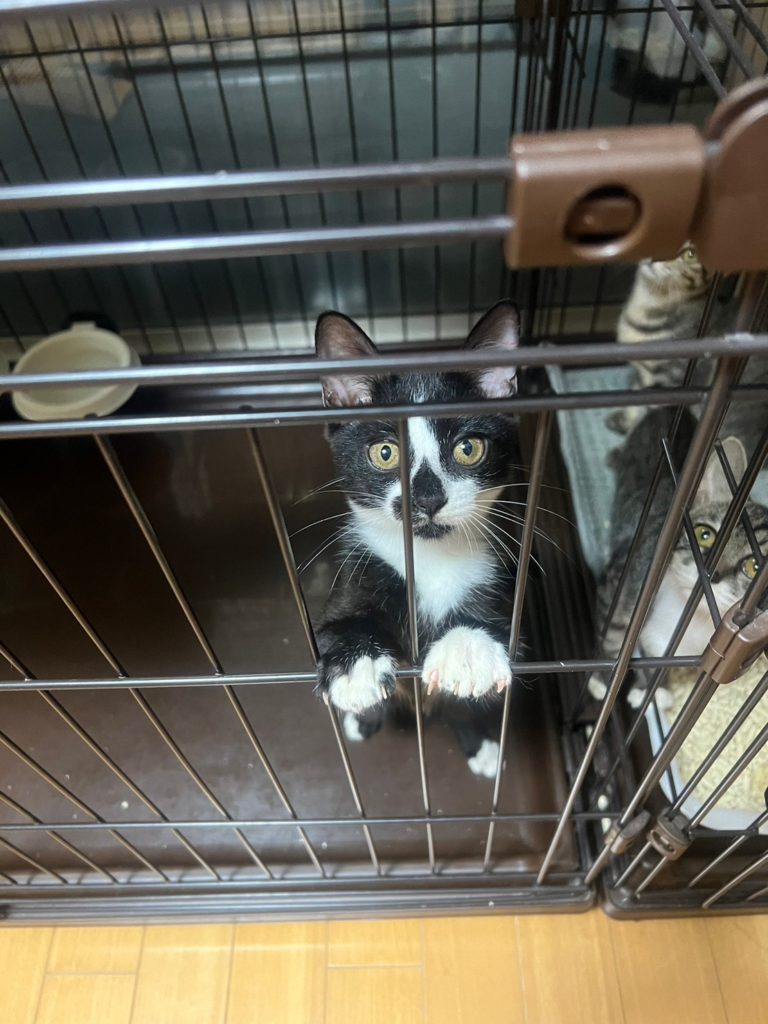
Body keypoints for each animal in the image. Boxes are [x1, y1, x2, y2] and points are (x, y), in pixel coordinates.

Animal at [314, 301, 523, 777]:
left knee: (460, 712)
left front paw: (468, 649)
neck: (429, 558)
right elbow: (338, 621)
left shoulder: (502, 570)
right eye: (384, 452)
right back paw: (363, 719)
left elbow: (504, 621)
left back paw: (480, 744)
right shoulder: (357, 565)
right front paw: (355, 664)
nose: (427, 498)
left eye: (468, 448)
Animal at [589, 407, 768, 709]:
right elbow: (614, 632)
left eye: (755, 567)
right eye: (705, 535)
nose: (712, 573)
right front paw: (604, 679)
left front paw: (653, 690)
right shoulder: (623, 579)